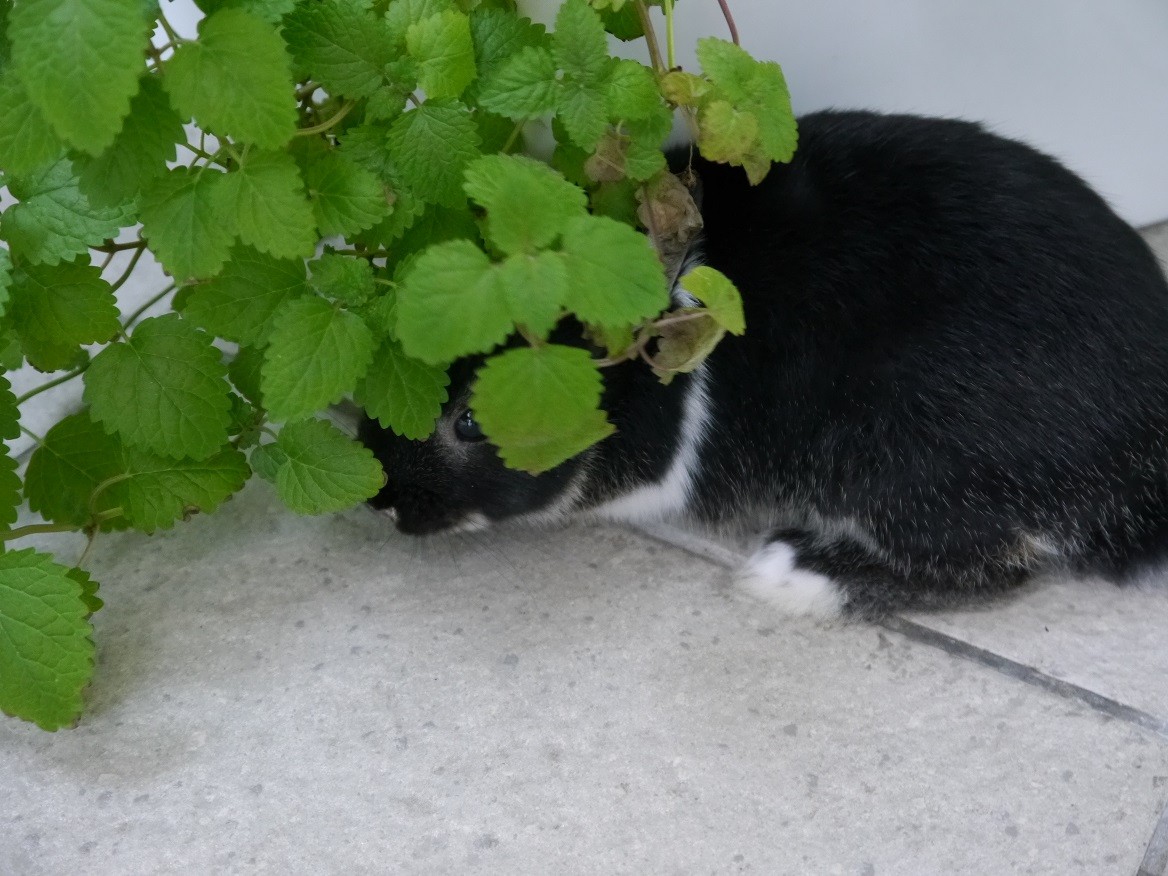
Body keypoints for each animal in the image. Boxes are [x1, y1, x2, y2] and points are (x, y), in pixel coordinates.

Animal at [355, 111, 1168, 616]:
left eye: (469, 420)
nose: (383, 501)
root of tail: (1141, 460)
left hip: (897, 458)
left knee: (1005, 566)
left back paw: (792, 575)